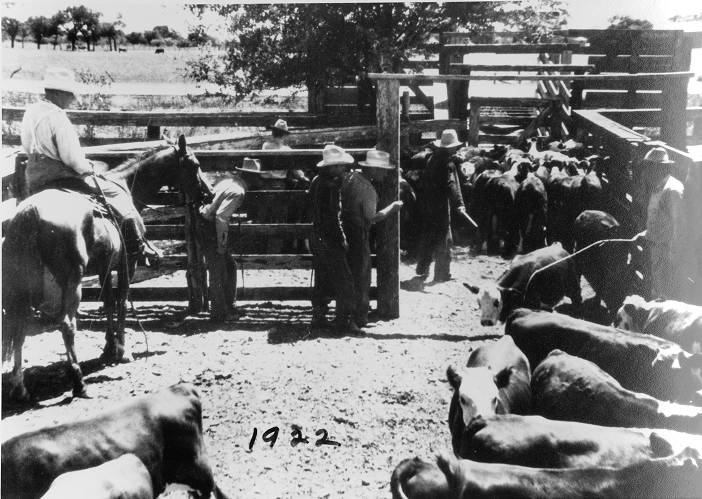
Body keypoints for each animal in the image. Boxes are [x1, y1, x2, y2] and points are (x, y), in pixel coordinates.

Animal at [2, 135, 205, 404]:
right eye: (194, 164)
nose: (208, 193)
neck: (127, 186)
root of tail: (30, 212)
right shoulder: (129, 263)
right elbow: (121, 301)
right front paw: (122, 350)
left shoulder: (104, 267)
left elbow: (108, 301)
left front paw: (109, 348)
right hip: (71, 282)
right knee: (66, 325)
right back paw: (79, 384)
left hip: (22, 286)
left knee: (19, 325)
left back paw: (19, 387)